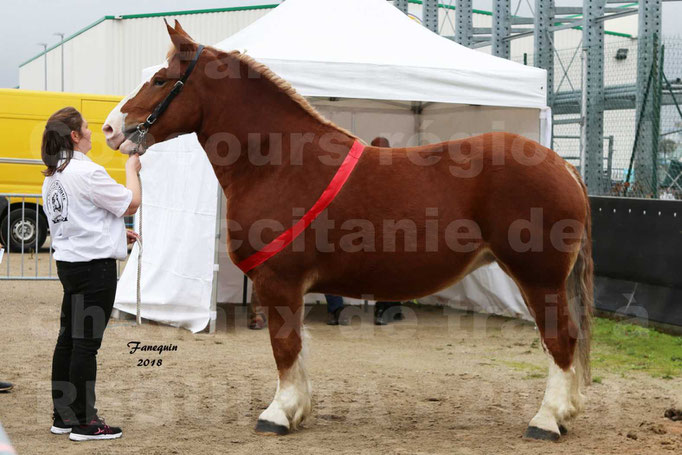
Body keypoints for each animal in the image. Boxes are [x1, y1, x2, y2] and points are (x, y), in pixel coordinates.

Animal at [103, 22, 592, 446]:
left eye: (162, 80)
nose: (111, 128)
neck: (278, 162)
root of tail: (563, 166)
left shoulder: (279, 280)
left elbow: (284, 346)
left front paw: (277, 414)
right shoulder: (288, 286)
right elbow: (297, 348)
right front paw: (297, 410)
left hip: (538, 277)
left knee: (560, 339)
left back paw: (546, 421)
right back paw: (565, 414)